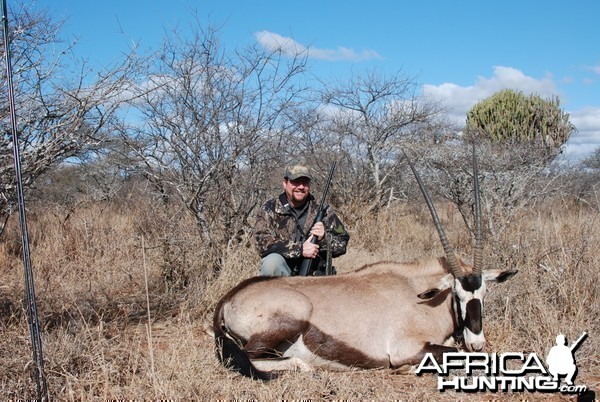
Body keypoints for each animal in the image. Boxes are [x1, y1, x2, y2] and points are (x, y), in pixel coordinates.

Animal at [213, 148, 516, 380]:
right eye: (458, 294)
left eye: (483, 294)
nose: (477, 344)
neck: (420, 295)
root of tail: (229, 298)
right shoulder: (405, 347)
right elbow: (454, 355)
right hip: (288, 320)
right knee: (251, 358)